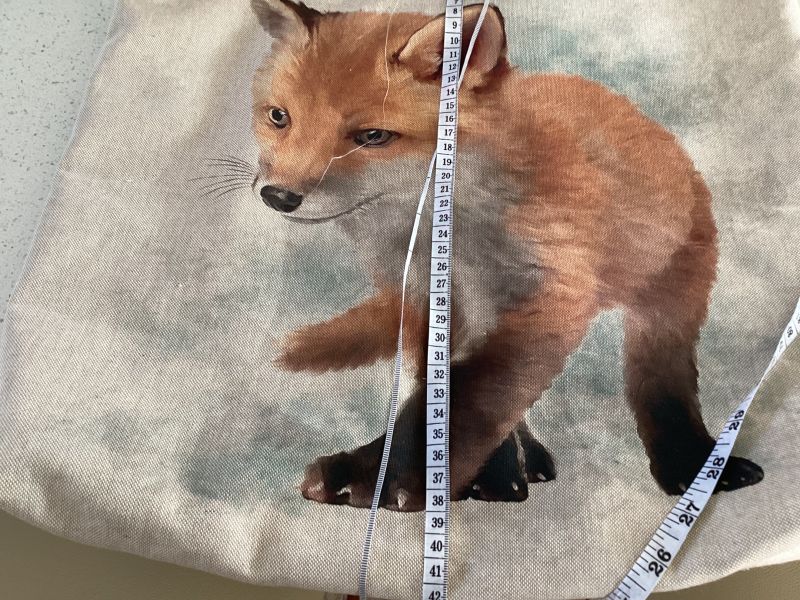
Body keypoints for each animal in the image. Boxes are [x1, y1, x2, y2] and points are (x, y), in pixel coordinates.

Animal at [248, 0, 764, 511]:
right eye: (279, 117)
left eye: (373, 137)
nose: (277, 196)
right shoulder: (427, 302)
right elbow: (451, 391)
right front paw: (485, 477)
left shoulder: (551, 294)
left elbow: (474, 396)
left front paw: (384, 476)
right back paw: (518, 465)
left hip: (667, 296)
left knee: (663, 381)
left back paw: (690, 465)